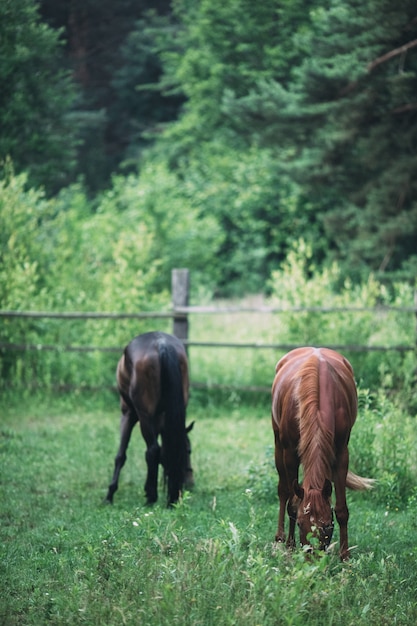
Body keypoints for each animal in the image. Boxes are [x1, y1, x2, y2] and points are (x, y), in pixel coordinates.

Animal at [105, 330, 193, 504]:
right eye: (189, 451)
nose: (189, 483)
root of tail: (162, 344)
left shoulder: (128, 415)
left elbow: (121, 455)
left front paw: (110, 494)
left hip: (143, 416)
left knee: (152, 450)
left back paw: (151, 498)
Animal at [270, 344, 374, 560]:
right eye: (301, 524)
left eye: (327, 525)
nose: (313, 561)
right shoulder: (290, 453)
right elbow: (292, 503)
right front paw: (291, 546)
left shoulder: (341, 453)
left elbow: (341, 509)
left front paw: (345, 556)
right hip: (278, 445)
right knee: (283, 491)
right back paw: (279, 539)